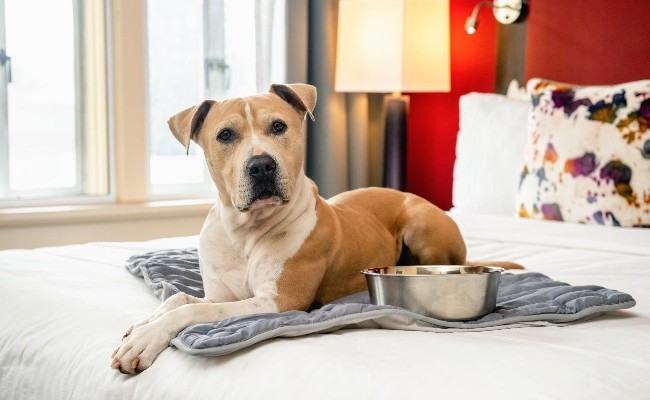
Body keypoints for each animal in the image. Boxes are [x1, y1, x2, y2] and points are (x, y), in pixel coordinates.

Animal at [109, 83, 520, 374]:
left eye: (278, 126)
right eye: (225, 135)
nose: (261, 165)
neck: (245, 232)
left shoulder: (278, 303)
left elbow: (188, 313)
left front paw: (145, 340)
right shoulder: (220, 295)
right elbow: (178, 299)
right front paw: (142, 325)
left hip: (421, 224)